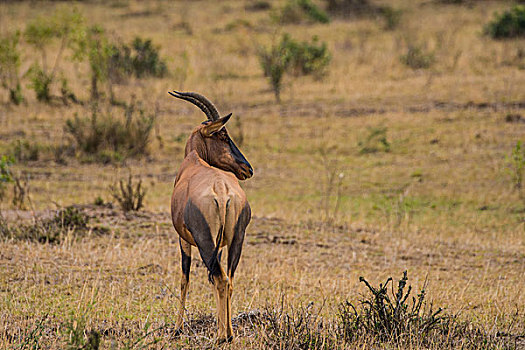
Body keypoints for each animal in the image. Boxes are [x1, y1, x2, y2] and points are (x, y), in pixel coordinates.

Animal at [167, 89, 251, 342]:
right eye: (222, 136)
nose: (248, 169)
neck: (194, 160)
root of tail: (222, 191)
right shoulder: (220, 245)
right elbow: (213, 279)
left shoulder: (184, 240)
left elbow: (185, 279)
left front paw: (177, 329)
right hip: (236, 240)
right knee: (228, 279)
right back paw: (229, 333)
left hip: (204, 242)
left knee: (221, 279)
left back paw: (222, 336)